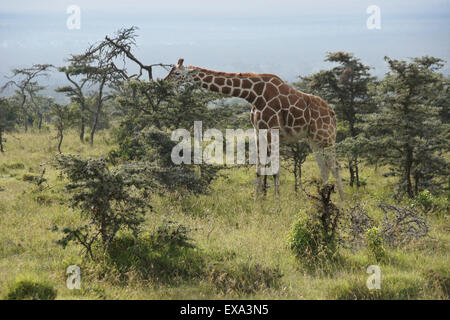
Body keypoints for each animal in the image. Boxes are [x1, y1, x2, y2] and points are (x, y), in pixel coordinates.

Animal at [165, 58, 344, 199]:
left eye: (176, 73)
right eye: (171, 70)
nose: (164, 82)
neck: (254, 95)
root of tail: (333, 113)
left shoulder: (272, 130)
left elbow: (274, 169)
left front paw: (277, 204)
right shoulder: (259, 132)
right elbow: (259, 168)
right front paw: (257, 202)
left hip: (326, 137)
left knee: (335, 166)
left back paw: (341, 202)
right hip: (314, 139)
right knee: (324, 167)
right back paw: (323, 198)